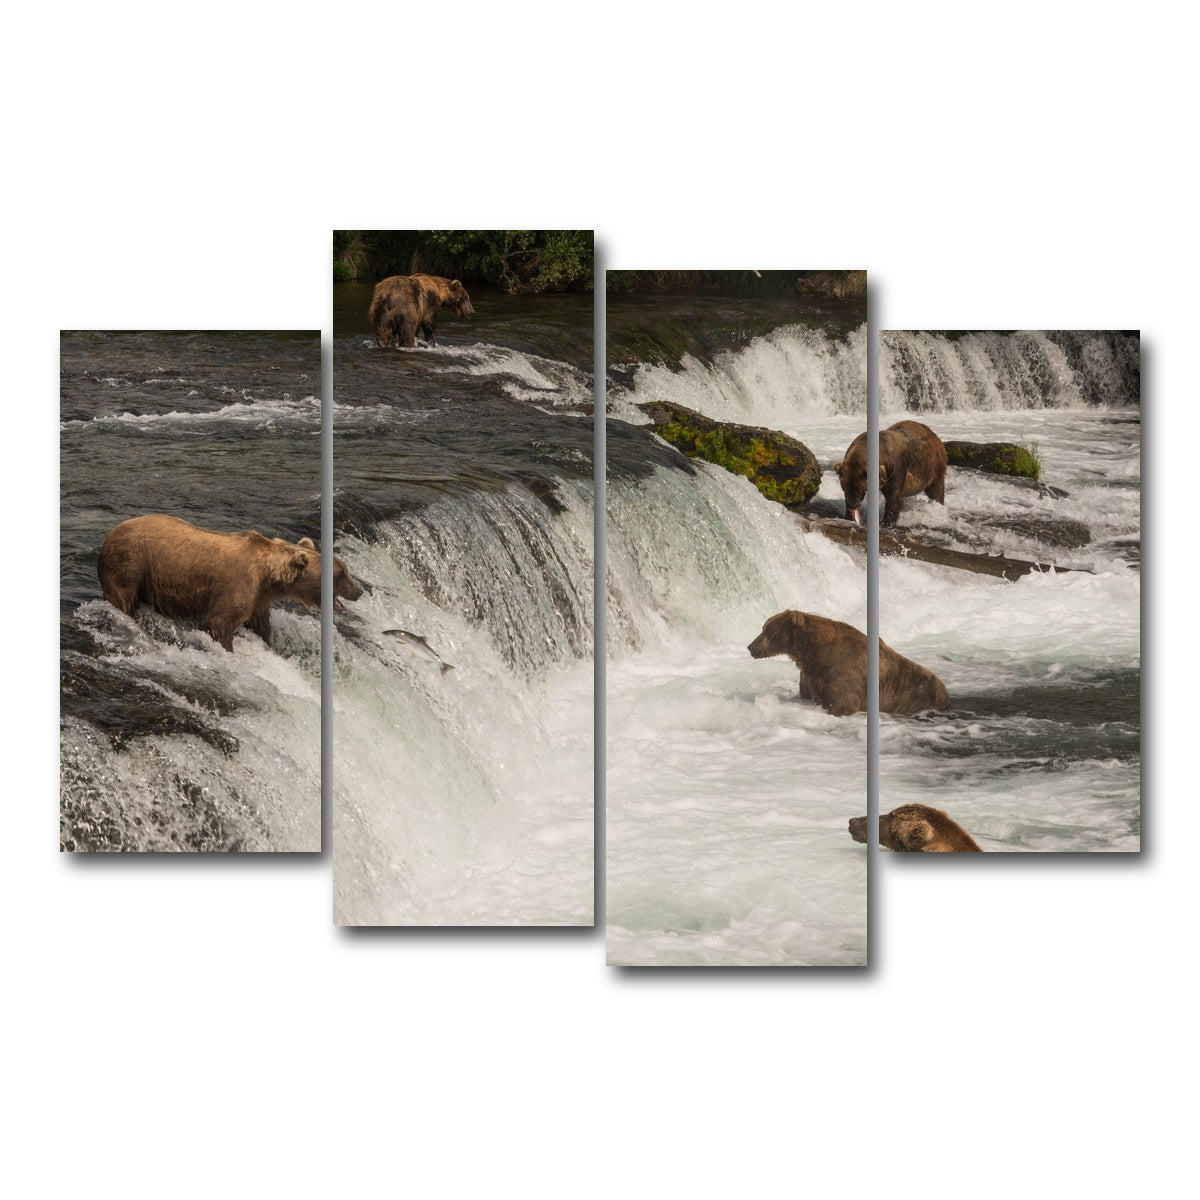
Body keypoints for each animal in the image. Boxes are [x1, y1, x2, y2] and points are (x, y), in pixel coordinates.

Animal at [97, 514, 363, 651]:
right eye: (341, 574)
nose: (359, 590)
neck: (268, 577)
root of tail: (110, 533)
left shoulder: (259, 598)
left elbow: (260, 624)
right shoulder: (237, 585)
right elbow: (221, 622)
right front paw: (228, 648)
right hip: (132, 564)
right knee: (123, 599)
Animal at [747, 610, 950, 716]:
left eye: (767, 630)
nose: (750, 646)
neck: (811, 653)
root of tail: (946, 692)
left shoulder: (843, 671)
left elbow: (842, 702)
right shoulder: (810, 675)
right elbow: (806, 693)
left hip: (918, 696)